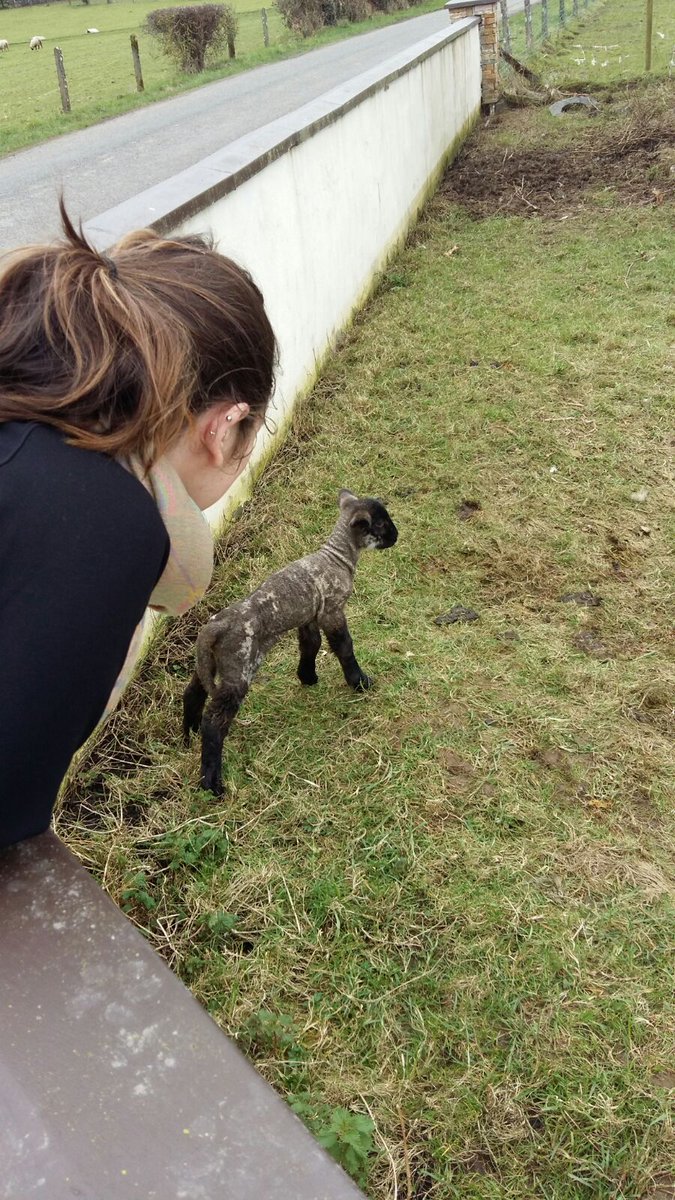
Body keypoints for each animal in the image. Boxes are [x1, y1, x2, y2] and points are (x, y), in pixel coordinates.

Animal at [183, 489, 399, 796]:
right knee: (214, 722)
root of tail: (214, 626)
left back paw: (188, 735)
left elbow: (311, 645)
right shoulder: (332, 611)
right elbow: (344, 647)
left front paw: (307, 677)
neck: (338, 556)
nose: (396, 536)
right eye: (381, 524)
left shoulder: (310, 615)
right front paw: (359, 682)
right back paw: (212, 783)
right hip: (238, 670)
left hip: (210, 662)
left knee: (193, 692)